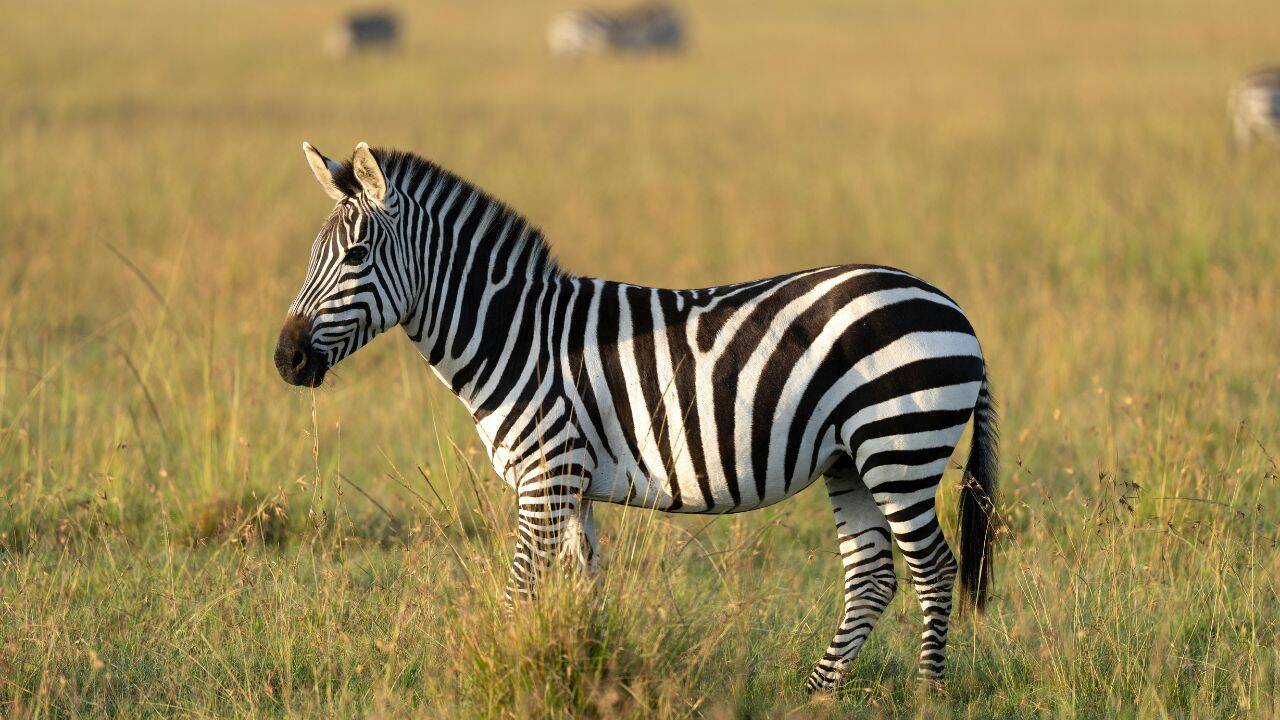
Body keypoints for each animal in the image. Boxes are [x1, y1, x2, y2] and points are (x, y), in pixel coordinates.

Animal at [275, 141, 999, 690]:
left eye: (356, 257)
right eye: (310, 257)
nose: (286, 359)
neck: (516, 336)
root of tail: (952, 305)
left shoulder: (546, 476)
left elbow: (518, 593)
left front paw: (518, 673)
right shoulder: (570, 483)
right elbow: (580, 591)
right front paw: (580, 667)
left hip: (899, 446)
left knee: (934, 569)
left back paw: (927, 692)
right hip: (851, 458)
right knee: (872, 575)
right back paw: (818, 693)